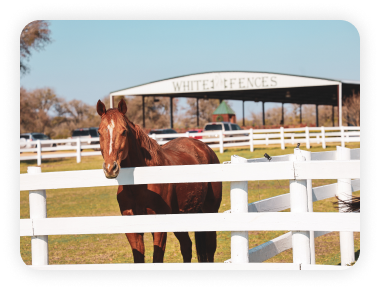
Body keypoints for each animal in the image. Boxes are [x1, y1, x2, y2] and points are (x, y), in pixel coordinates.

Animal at [96, 99, 224, 262]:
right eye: (99, 132)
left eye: (124, 131)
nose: (110, 168)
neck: (139, 186)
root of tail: (204, 148)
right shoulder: (133, 228)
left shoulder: (159, 226)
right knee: (187, 247)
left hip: (210, 210)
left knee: (209, 249)